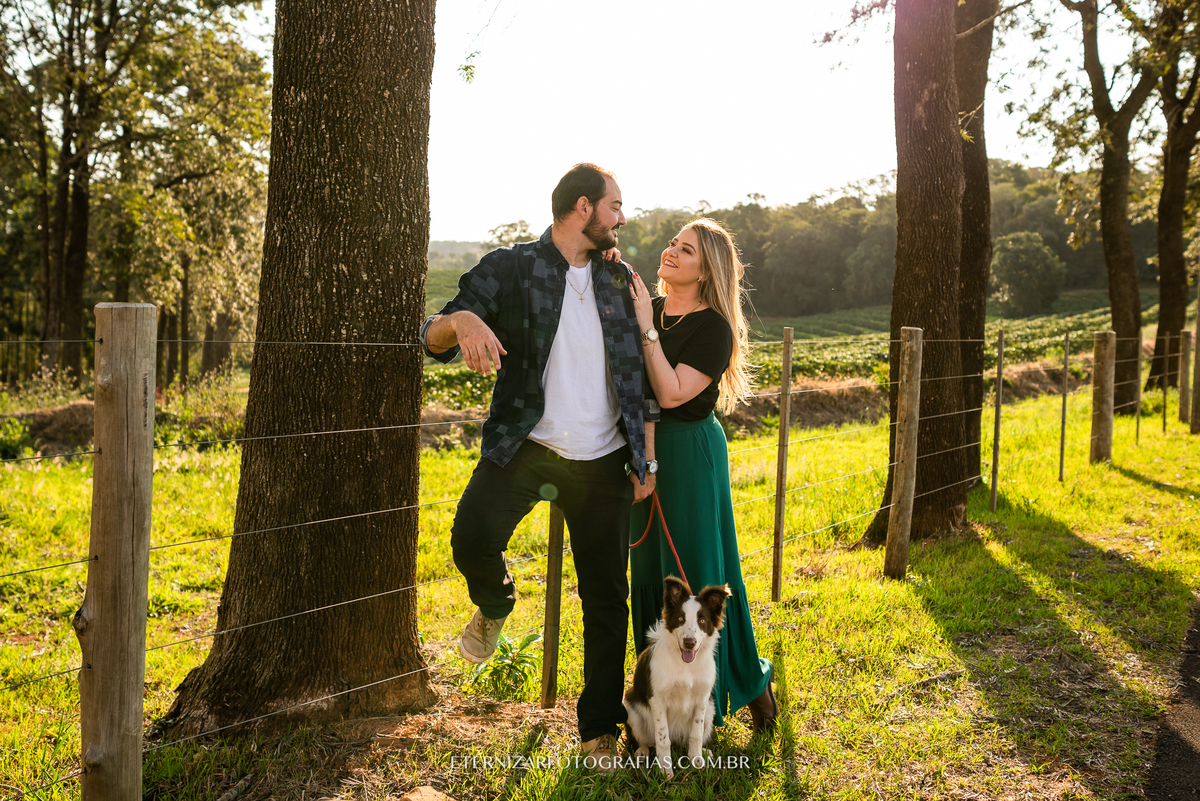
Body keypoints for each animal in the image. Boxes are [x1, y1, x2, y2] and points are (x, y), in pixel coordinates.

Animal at [623, 576, 731, 778]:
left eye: (702, 620)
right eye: (681, 618)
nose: (689, 643)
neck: (685, 666)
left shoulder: (702, 699)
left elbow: (696, 734)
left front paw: (696, 760)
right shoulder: (657, 700)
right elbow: (663, 739)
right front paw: (665, 770)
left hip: (711, 710)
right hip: (630, 706)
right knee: (643, 739)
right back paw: (642, 751)